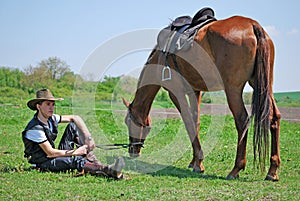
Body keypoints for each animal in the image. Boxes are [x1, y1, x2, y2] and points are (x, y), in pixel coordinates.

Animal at [122, 14, 282, 181]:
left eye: (128, 122)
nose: (132, 151)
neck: (161, 56)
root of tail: (253, 26)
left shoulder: (176, 93)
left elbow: (188, 123)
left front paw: (198, 163)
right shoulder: (195, 91)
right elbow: (195, 122)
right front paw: (194, 161)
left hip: (233, 90)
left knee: (242, 120)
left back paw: (236, 169)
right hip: (263, 86)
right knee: (274, 118)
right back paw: (272, 170)